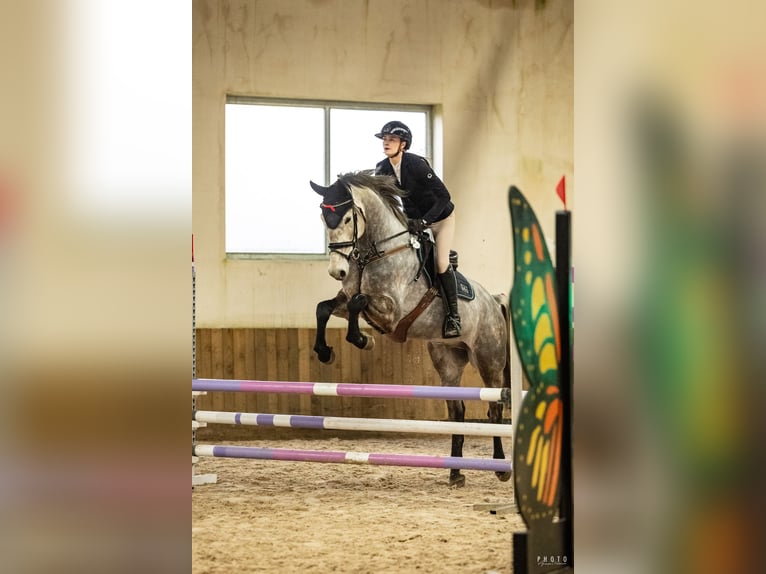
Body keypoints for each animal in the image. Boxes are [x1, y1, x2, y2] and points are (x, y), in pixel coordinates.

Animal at [310, 172, 512, 488]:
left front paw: (362, 340)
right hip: (448, 361)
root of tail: (493, 299)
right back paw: (456, 472)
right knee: (457, 410)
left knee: (494, 408)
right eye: (322, 217)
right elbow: (325, 308)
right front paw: (325, 351)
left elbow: (359, 302)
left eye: (347, 218)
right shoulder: (350, 300)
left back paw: (501, 468)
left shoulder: (393, 312)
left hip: (489, 360)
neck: (376, 253)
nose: (336, 271)